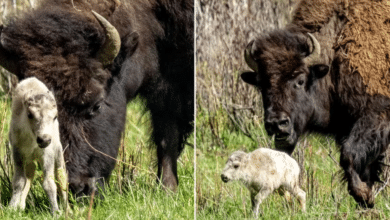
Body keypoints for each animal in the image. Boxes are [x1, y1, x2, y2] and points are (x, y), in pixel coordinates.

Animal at [0, 0, 193, 196]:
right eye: (30, 114)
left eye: (97, 105)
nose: (78, 187)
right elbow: (165, 135)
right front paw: (167, 189)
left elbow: (168, 137)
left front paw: (167, 190)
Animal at [8, 77, 67, 213]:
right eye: (30, 114)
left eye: (55, 116)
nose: (44, 140)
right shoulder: (17, 152)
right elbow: (19, 181)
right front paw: (12, 207)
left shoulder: (47, 154)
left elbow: (49, 183)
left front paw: (56, 212)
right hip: (30, 159)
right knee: (30, 174)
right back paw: (21, 205)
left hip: (58, 153)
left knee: (61, 177)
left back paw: (69, 210)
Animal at [242, 0, 388, 208]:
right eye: (261, 84)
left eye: (300, 80)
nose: (277, 124)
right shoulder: (348, 127)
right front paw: (367, 197)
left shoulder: (375, 116)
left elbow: (349, 155)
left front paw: (363, 195)